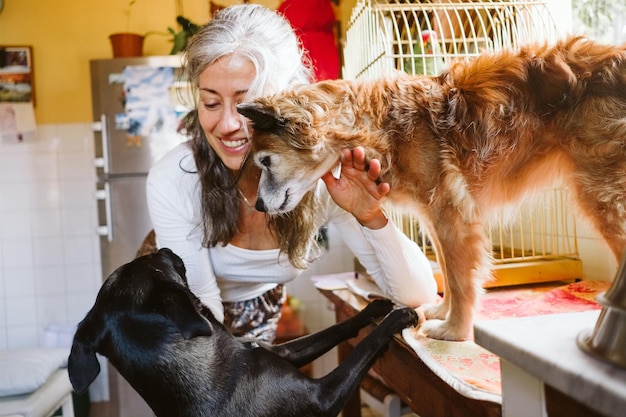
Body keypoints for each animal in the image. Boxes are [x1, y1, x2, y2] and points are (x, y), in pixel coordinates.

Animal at [68, 249, 416, 414]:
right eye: (151, 260)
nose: (166, 248)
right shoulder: (324, 396)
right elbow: (366, 346)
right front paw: (398, 317)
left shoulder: (280, 351)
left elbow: (339, 327)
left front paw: (372, 309)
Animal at [236, 35, 624, 340]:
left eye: (265, 161)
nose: (258, 206)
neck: (379, 124)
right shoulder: (434, 217)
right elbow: (449, 276)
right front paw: (442, 313)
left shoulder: (451, 214)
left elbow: (461, 278)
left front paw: (455, 330)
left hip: (602, 195)